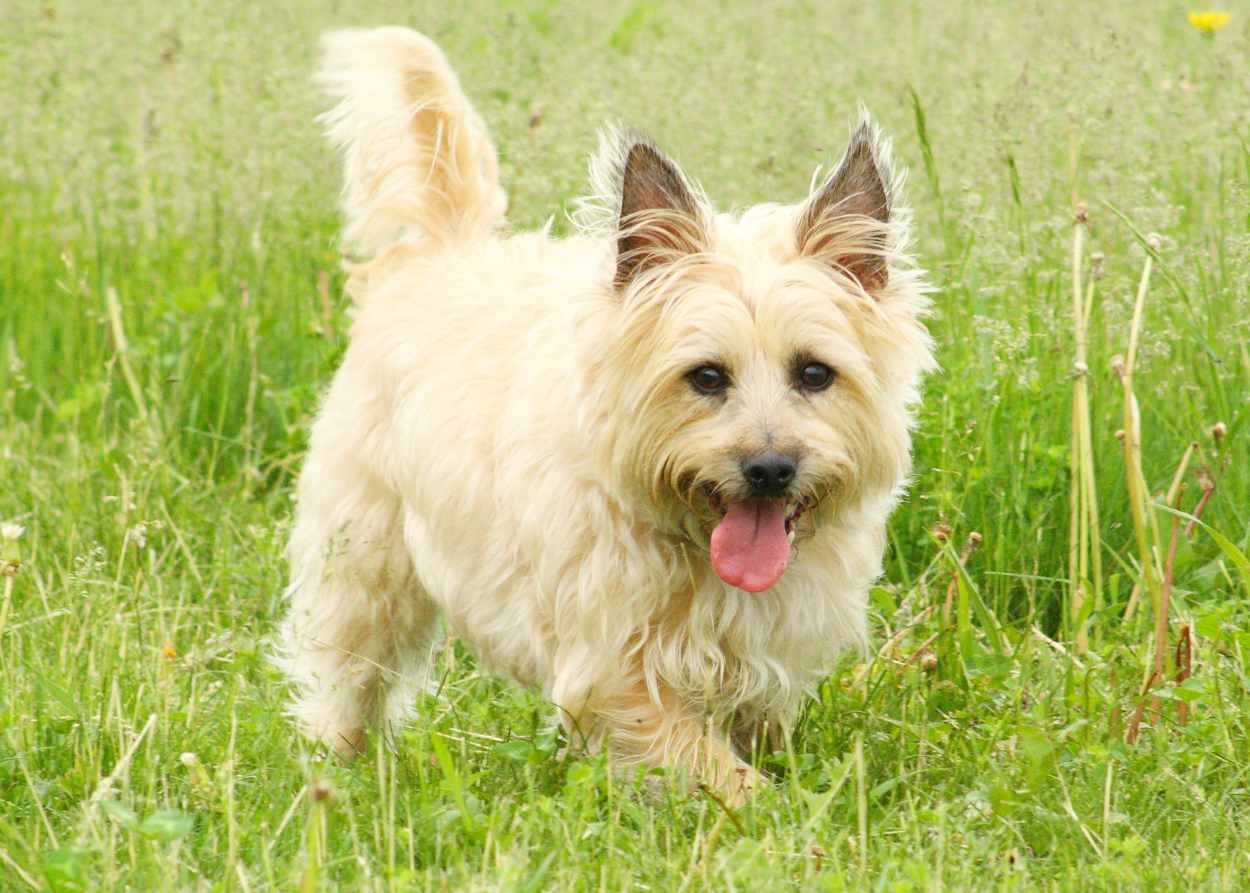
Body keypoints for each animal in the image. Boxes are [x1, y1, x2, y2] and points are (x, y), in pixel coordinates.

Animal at [278, 26, 935, 800]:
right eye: (705, 376)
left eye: (814, 373)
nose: (770, 468)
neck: (692, 543)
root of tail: (442, 251)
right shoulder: (616, 667)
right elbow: (709, 763)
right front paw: (767, 808)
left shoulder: (773, 650)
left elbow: (755, 729)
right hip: (365, 556)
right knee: (347, 667)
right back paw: (337, 765)